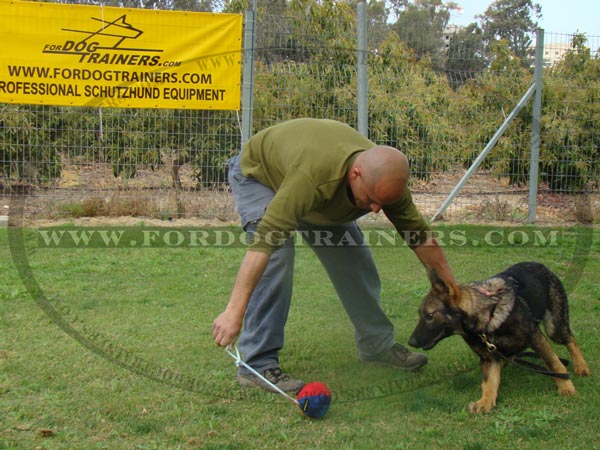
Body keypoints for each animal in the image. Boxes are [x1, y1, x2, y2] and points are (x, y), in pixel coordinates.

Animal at [408, 262, 592, 414]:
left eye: (429, 315)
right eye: (420, 314)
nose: (411, 342)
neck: (487, 318)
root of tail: (540, 265)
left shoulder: (536, 338)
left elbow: (555, 364)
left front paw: (566, 387)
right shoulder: (489, 357)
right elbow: (488, 382)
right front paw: (486, 401)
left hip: (555, 328)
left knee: (570, 339)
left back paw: (581, 366)